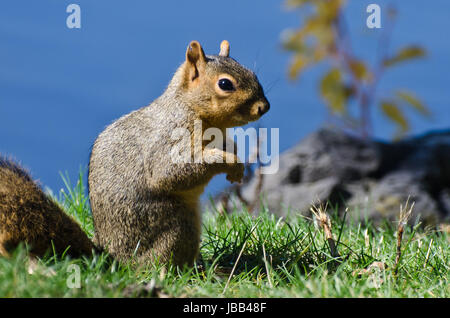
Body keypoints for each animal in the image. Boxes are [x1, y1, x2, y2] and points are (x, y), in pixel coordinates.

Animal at [0, 40, 268, 268]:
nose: (264, 107)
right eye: (225, 84)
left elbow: (227, 146)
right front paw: (230, 163)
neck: (189, 108)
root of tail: (113, 258)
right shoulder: (169, 140)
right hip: (179, 226)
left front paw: (237, 162)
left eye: (253, 73)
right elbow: (172, 172)